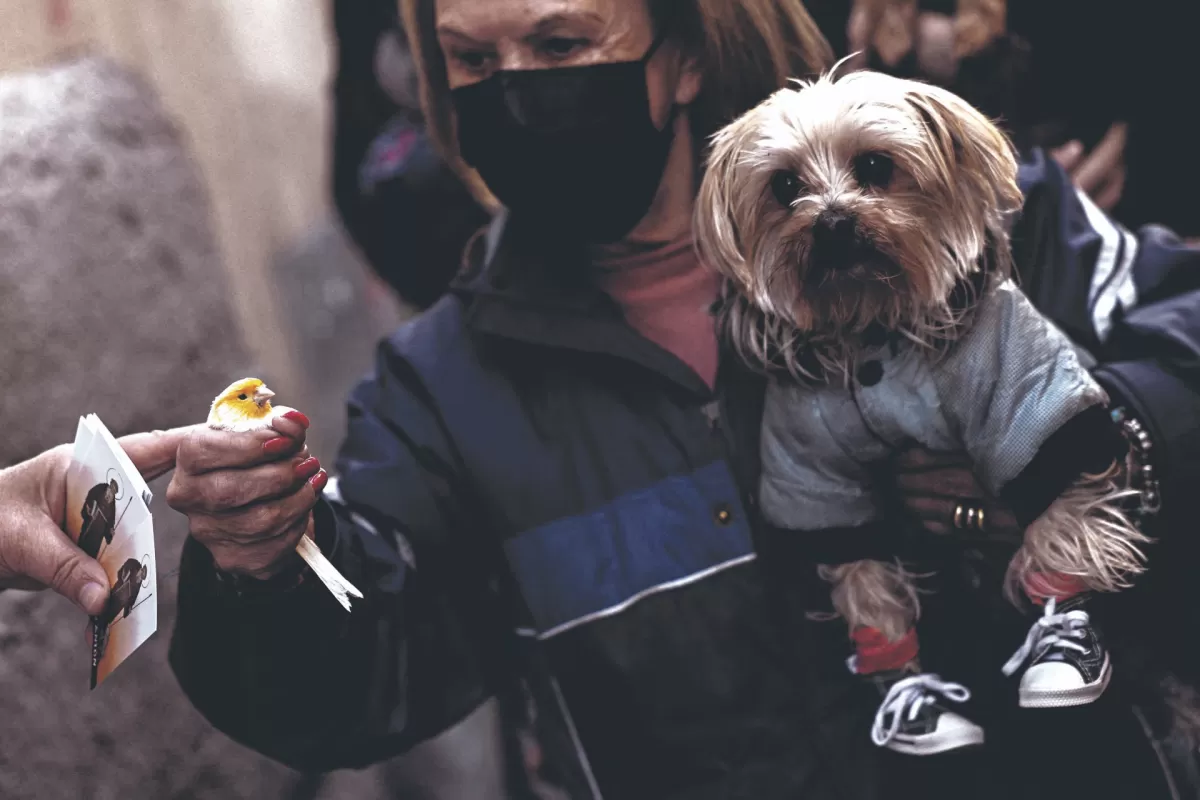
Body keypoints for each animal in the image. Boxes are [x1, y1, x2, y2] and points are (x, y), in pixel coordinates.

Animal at [700, 68, 1147, 758]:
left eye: (875, 166)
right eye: (784, 186)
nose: (832, 221)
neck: (868, 325)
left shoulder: (1027, 394)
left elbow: (1056, 506)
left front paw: (1059, 631)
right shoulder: (812, 471)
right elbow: (860, 568)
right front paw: (901, 677)